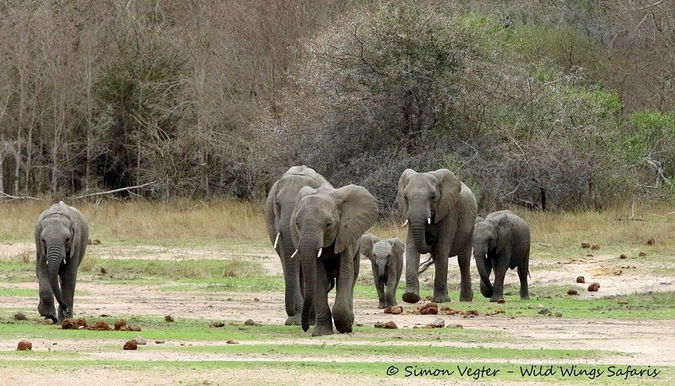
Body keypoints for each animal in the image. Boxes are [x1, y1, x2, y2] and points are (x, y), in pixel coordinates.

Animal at [292, 183, 380, 334]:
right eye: (297, 224)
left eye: (328, 224)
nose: (305, 327)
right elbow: (319, 277)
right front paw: (321, 333)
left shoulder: (345, 235)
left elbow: (345, 274)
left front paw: (346, 326)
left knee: (353, 276)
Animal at [398, 167, 478, 304]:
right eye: (405, 197)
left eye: (433, 197)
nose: (430, 237)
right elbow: (412, 246)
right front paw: (410, 297)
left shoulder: (449, 211)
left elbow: (442, 246)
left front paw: (440, 300)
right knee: (438, 259)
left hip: (470, 226)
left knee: (463, 260)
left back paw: (465, 299)